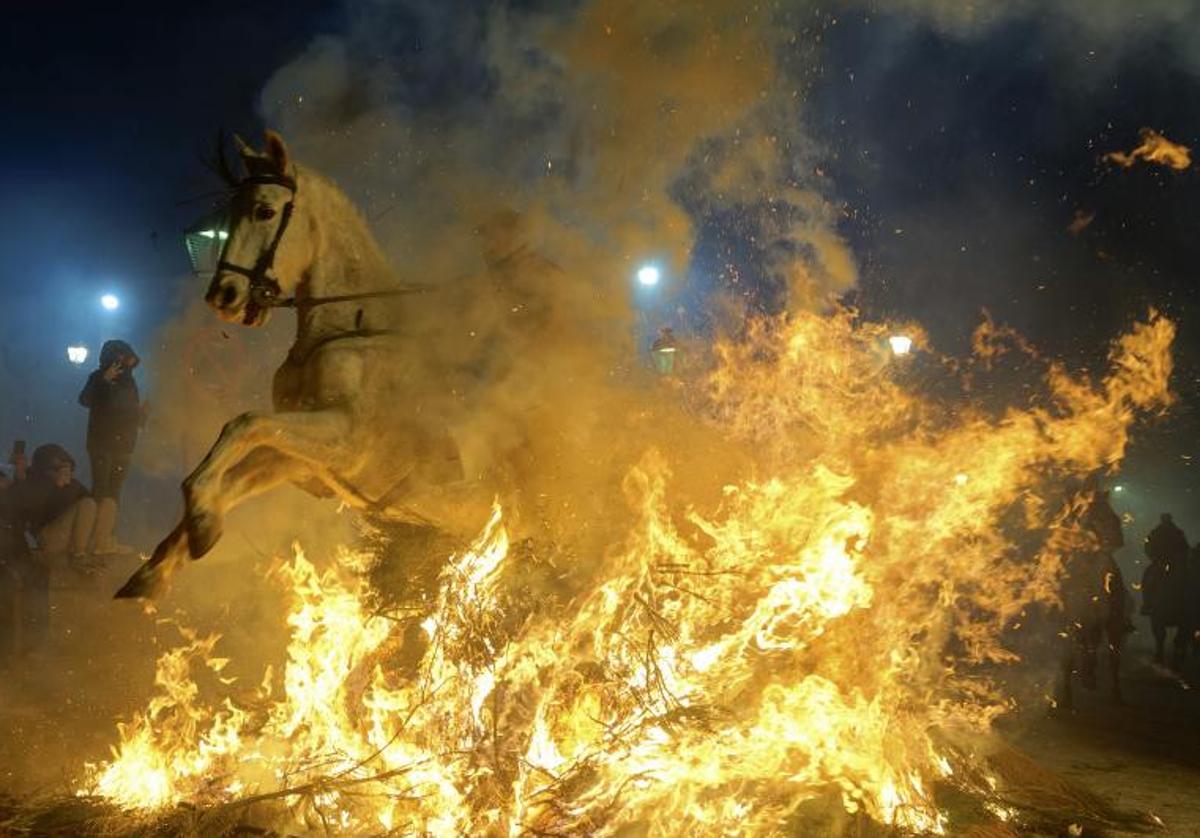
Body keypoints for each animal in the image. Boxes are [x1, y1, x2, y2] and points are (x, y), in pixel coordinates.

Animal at [119, 132, 494, 593]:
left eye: (264, 210)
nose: (223, 296)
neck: (353, 326)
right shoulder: (299, 456)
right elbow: (237, 474)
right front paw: (166, 559)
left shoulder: (347, 441)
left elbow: (244, 424)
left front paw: (201, 518)